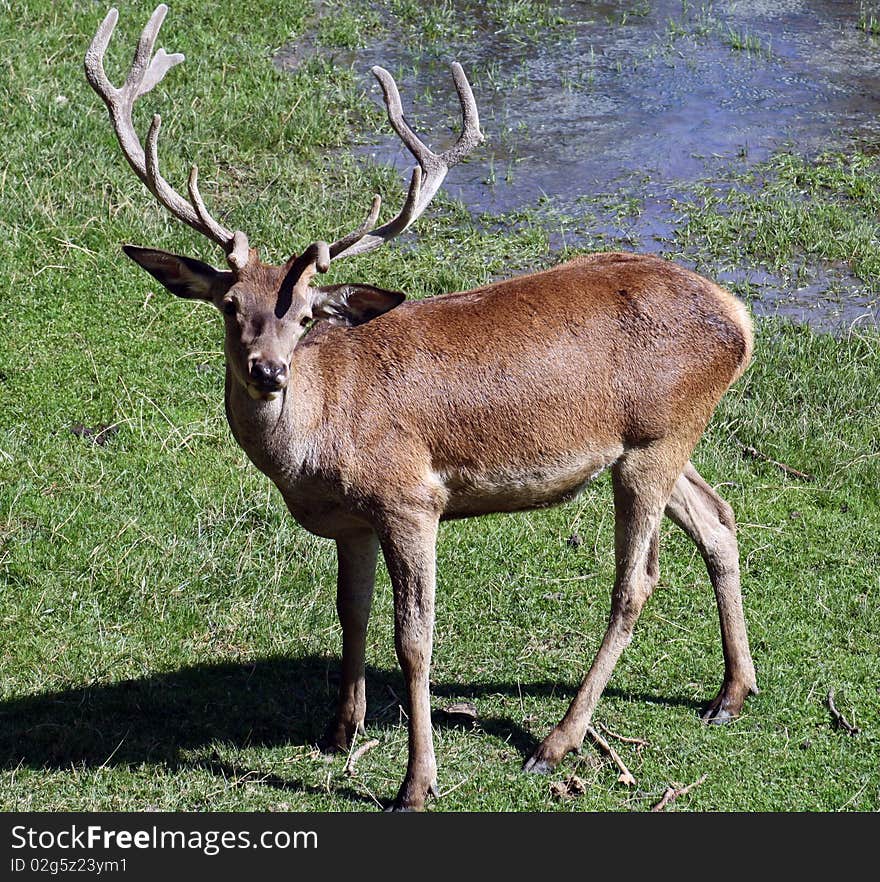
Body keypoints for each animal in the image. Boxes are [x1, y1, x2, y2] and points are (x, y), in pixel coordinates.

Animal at [84, 3, 756, 808]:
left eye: (305, 316)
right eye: (230, 306)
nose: (268, 371)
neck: (322, 440)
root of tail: (740, 318)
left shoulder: (410, 498)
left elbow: (414, 640)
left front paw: (416, 782)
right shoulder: (351, 520)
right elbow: (351, 615)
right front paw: (339, 732)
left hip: (656, 440)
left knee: (636, 582)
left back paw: (555, 744)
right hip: (661, 442)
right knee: (719, 517)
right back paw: (730, 694)